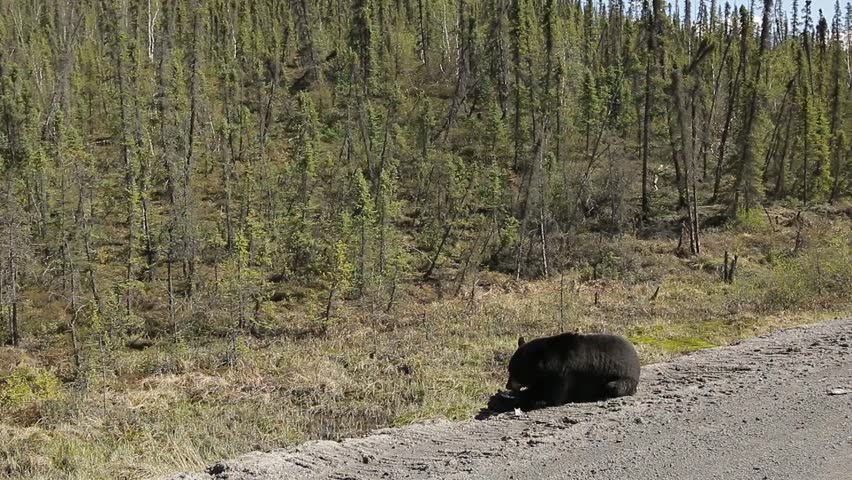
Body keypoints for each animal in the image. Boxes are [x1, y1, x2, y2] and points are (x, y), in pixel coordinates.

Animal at [504, 332, 640, 411]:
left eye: (514, 372)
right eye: (509, 370)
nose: (508, 385)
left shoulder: (564, 374)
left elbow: (553, 397)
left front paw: (534, 401)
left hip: (624, 379)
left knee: (613, 386)